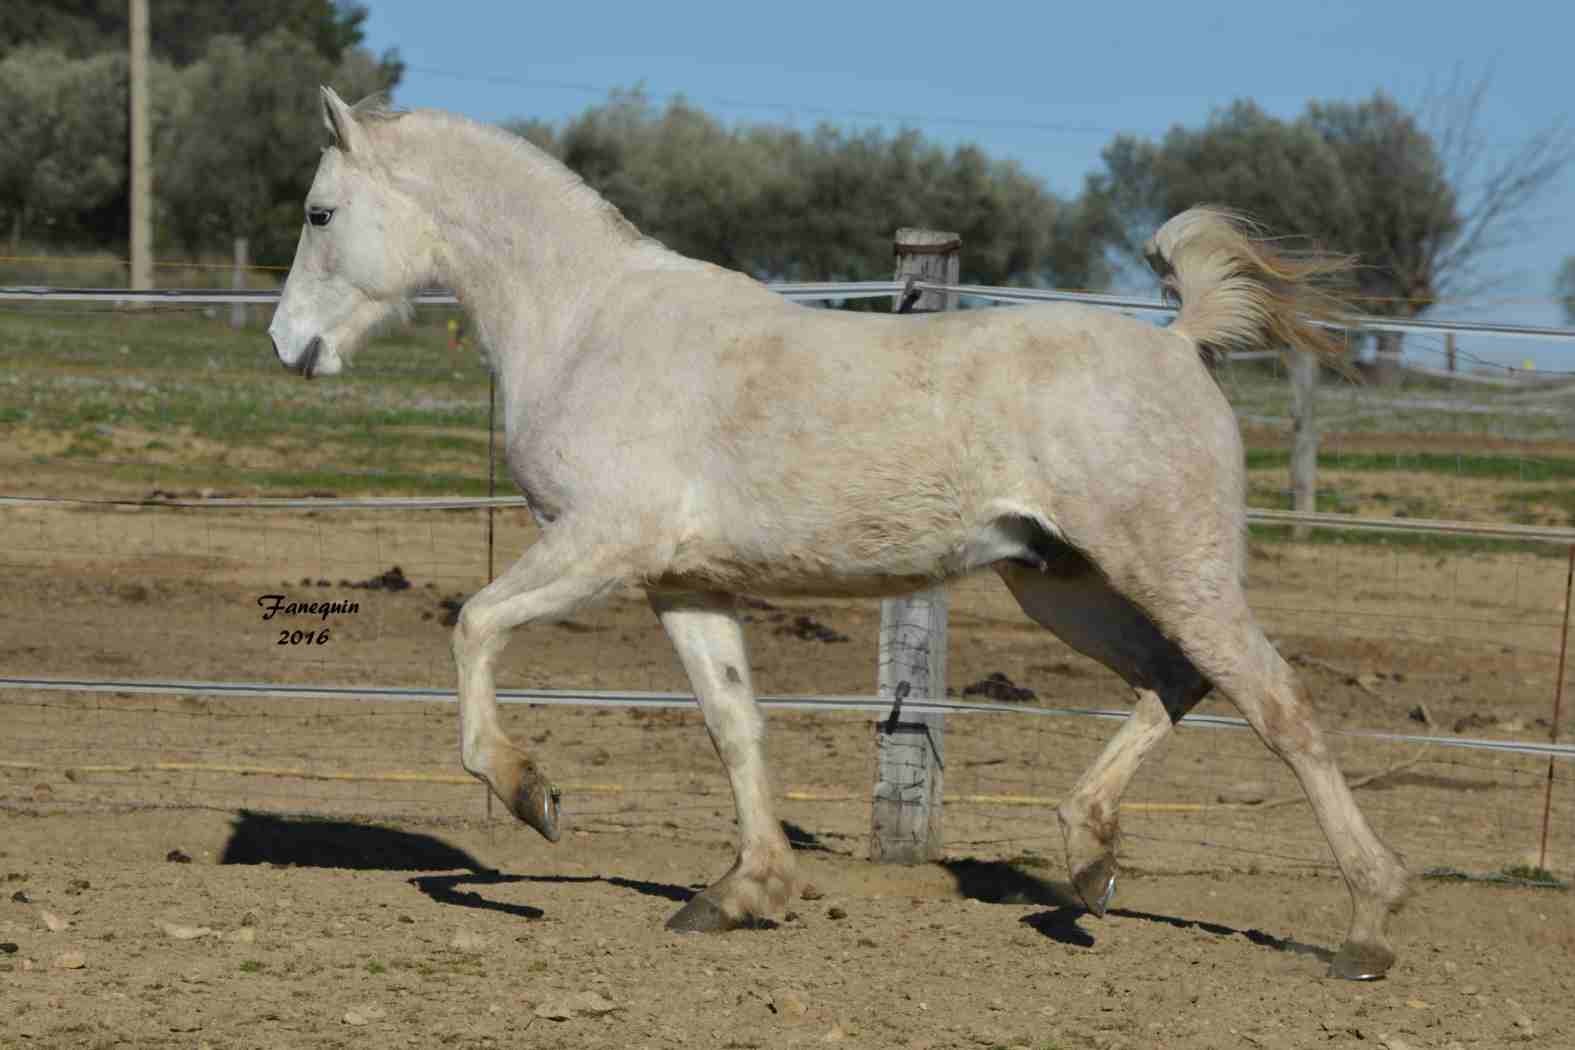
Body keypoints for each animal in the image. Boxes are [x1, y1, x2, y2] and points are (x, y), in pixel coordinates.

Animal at [270, 86, 1417, 982]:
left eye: (321, 211)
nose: (289, 346)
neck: (589, 324)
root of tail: (1180, 344)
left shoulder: (603, 546)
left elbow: (473, 626)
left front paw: (530, 795)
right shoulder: (683, 584)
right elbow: (735, 726)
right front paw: (743, 893)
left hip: (1173, 570)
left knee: (1278, 708)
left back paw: (1366, 929)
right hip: (1062, 582)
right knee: (1173, 682)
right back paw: (1087, 862)